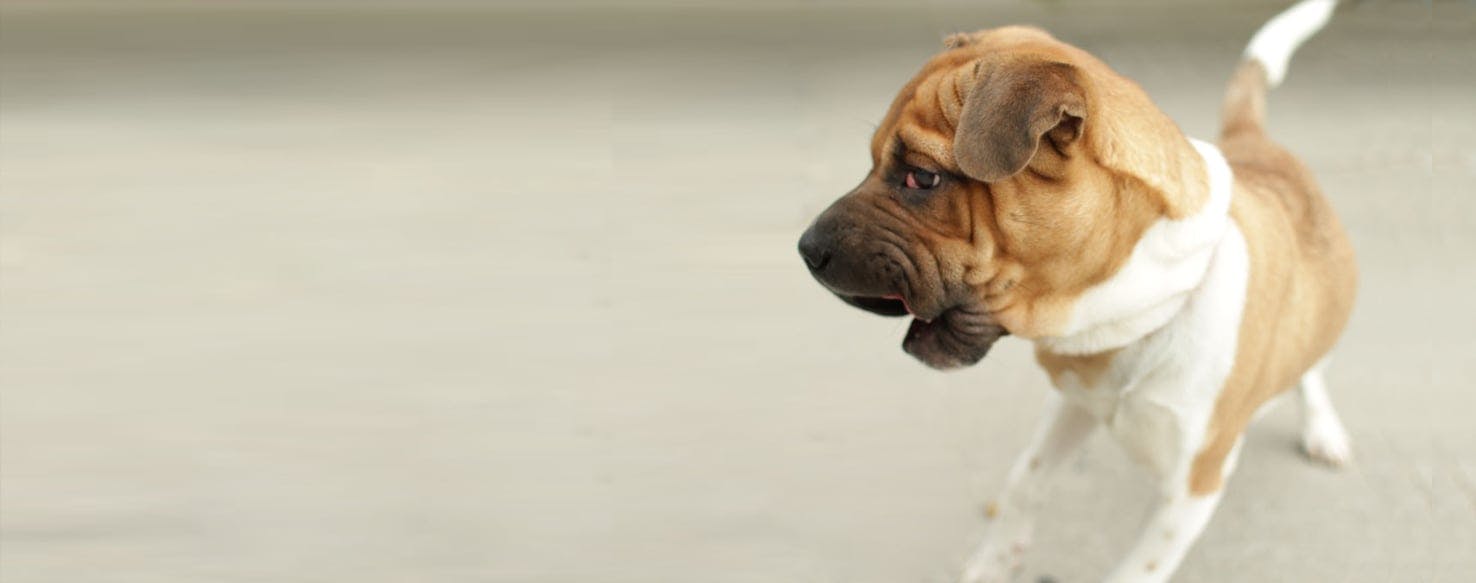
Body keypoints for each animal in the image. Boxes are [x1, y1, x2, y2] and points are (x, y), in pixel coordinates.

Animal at [802, 2, 1352, 581]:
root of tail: (1253, 142)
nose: (805, 249)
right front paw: (992, 563)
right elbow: (1024, 483)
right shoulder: (1069, 407)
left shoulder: (1192, 487)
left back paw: (1323, 428)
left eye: (921, 179)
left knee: (1312, 366)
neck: (1140, 317)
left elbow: (1138, 568)